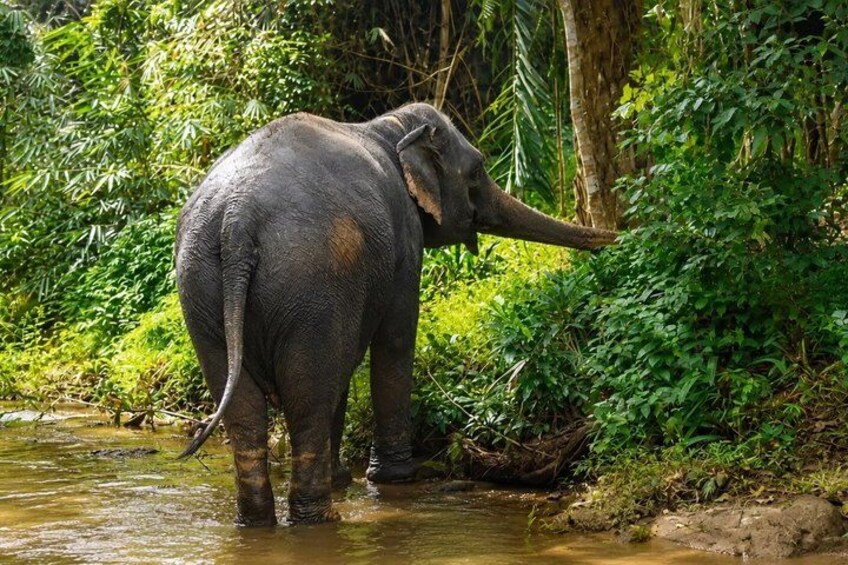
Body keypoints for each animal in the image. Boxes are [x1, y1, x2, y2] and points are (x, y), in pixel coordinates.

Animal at [175, 102, 616, 526]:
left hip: (201, 290)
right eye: (477, 169)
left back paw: (257, 522)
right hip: (308, 284)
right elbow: (396, 340)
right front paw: (397, 478)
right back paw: (321, 519)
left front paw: (348, 479)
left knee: (245, 409)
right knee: (309, 396)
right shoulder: (405, 239)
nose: (616, 240)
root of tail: (239, 220)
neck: (389, 126)